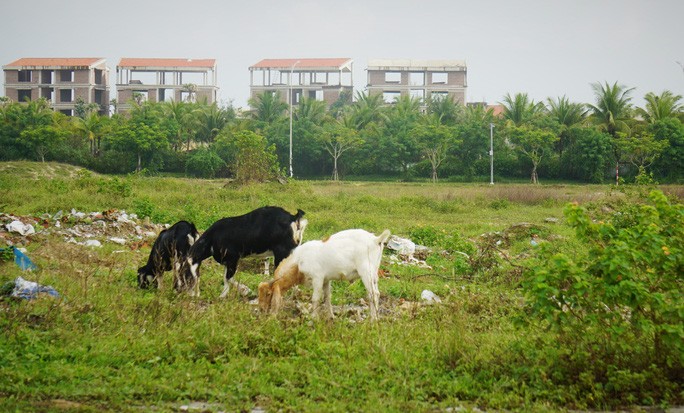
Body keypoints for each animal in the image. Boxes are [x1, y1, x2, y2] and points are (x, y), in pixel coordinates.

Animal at [176, 206, 308, 296]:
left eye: (184, 273)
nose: (180, 290)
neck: (212, 239)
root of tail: (294, 218)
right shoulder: (227, 261)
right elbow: (225, 278)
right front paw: (223, 296)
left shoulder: (233, 258)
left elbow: (229, 278)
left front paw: (246, 291)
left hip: (282, 253)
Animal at [258, 229, 390, 318]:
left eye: (268, 293)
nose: (262, 310)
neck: (299, 261)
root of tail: (376, 240)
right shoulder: (326, 280)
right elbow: (327, 297)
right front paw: (330, 316)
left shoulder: (317, 278)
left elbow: (315, 298)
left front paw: (313, 318)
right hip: (374, 274)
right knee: (376, 293)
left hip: (366, 272)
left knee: (373, 294)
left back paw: (373, 320)